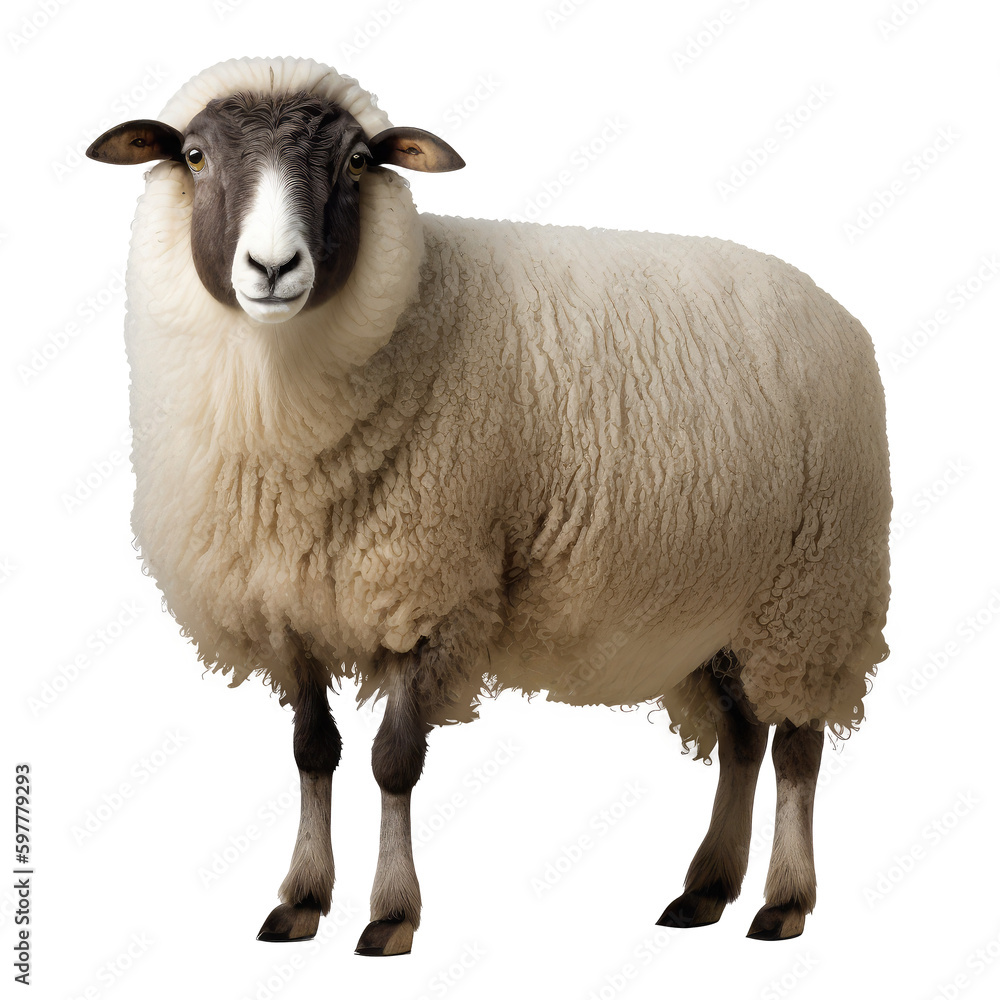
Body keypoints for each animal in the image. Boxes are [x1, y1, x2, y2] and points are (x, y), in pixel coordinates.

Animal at [87, 56, 891, 955]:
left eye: (357, 162)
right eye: (194, 155)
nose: (271, 268)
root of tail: (834, 310)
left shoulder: (434, 590)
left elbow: (393, 760)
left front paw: (391, 914)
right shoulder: (287, 608)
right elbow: (312, 752)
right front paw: (302, 900)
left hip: (814, 594)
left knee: (797, 748)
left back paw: (783, 902)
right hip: (718, 616)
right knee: (744, 739)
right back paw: (705, 890)